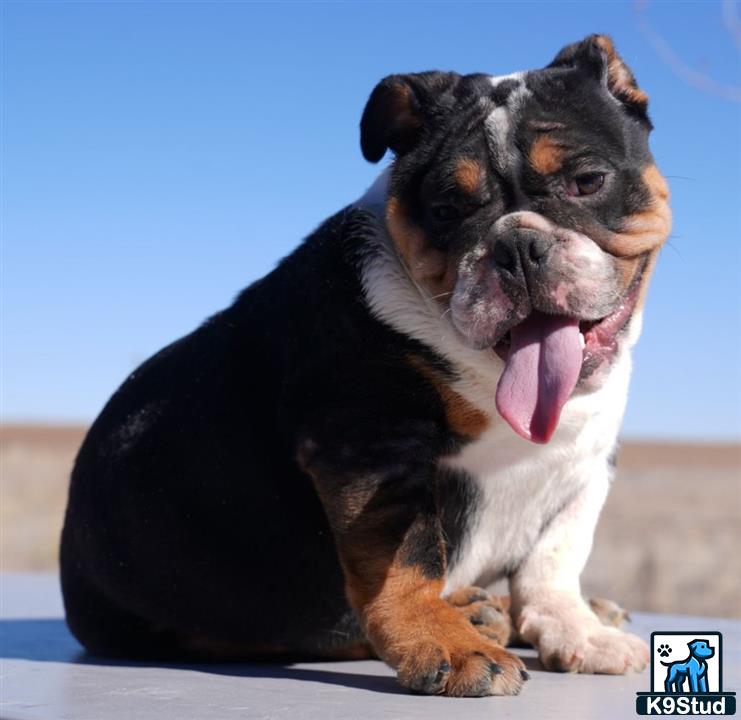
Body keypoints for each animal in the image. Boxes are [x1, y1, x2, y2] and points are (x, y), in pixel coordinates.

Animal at [60, 35, 668, 696]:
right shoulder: (370, 447)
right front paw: (446, 643)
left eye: (587, 181)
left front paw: (577, 630)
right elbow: (406, 559)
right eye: (446, 208)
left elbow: (555, 557)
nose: (516, 246)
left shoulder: (586, 463)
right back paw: (473, 615)